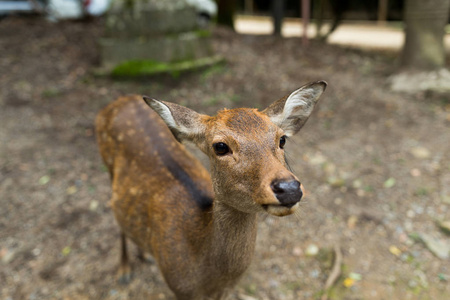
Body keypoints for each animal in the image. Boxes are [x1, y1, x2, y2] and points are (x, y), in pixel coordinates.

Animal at [96, 81, 326, 298]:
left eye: (282, 139)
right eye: (220, 146)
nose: (289, 188)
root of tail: (119, 100)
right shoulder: (179, 287)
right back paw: (124, 270)